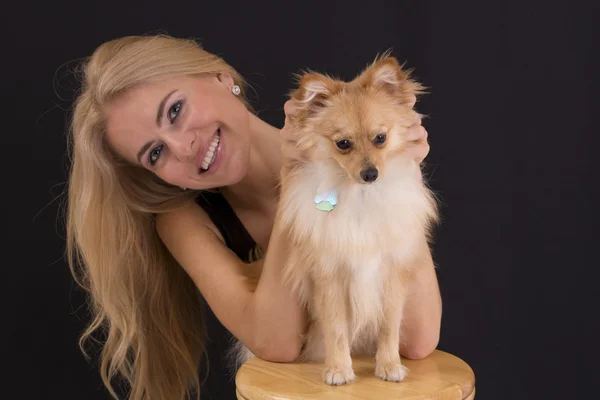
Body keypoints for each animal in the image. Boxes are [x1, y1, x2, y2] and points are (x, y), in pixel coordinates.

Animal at [274, 53, 440, 384]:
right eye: (343, 144)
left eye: (380, 138)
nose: (370, 173)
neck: (360, 196)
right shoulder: (329, 276)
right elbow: (337, 328)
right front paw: (339, 369)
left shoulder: (392, 274)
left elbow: (389, 326)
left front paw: (389, 365)